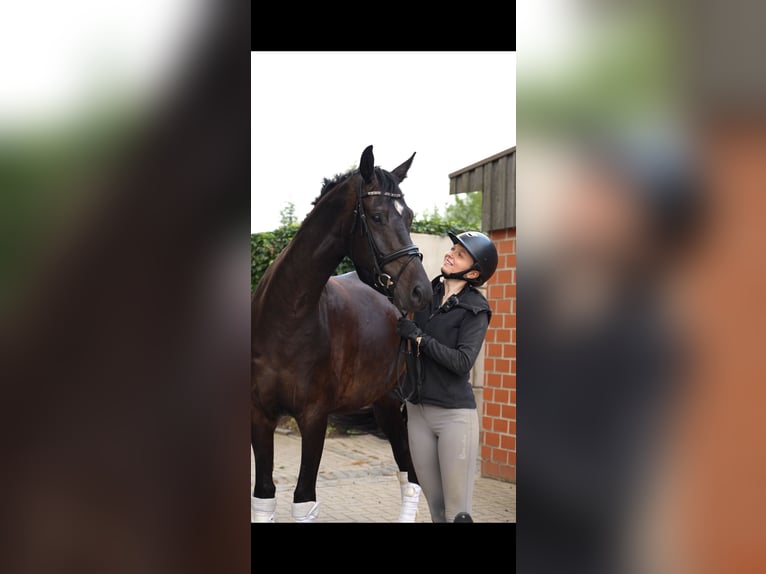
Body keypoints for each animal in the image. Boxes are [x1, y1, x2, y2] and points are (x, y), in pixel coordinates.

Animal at [251, 145, 433, 522]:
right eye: (377, 217)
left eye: (409, 217)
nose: (421, 291)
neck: (287, 316)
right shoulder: (259, 415)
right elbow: (264, 495)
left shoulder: (314, 417)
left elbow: (303, 500)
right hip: (383, 403)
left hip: (397, 405)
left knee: (411, 476)